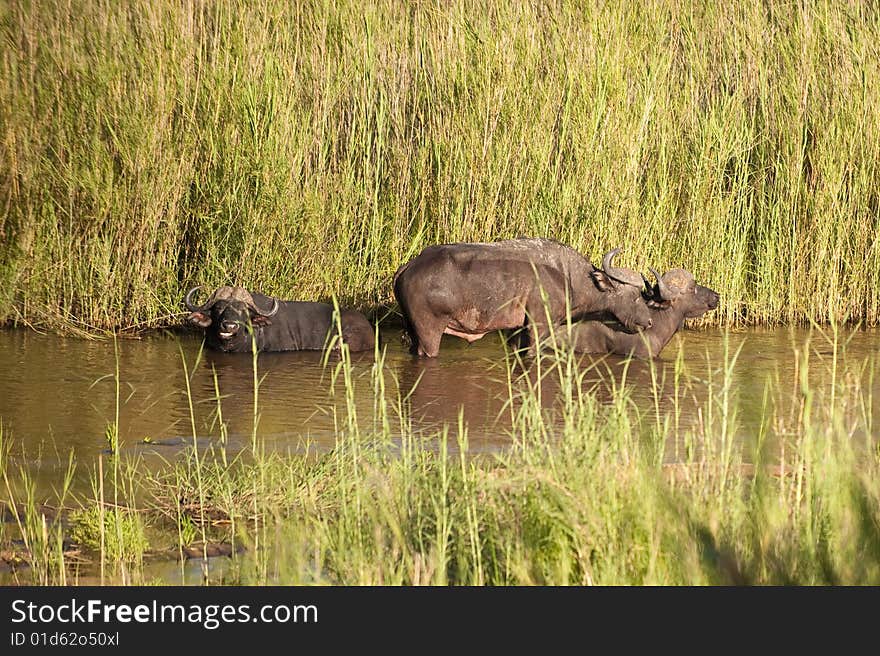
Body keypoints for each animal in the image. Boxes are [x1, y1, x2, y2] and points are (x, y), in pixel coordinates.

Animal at [392, 237, 652, 356]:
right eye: (635, 296)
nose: (649, 322)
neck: (568, 277)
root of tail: (410, 266)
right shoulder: (539, 327)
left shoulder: (517, 331)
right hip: (429, 333)